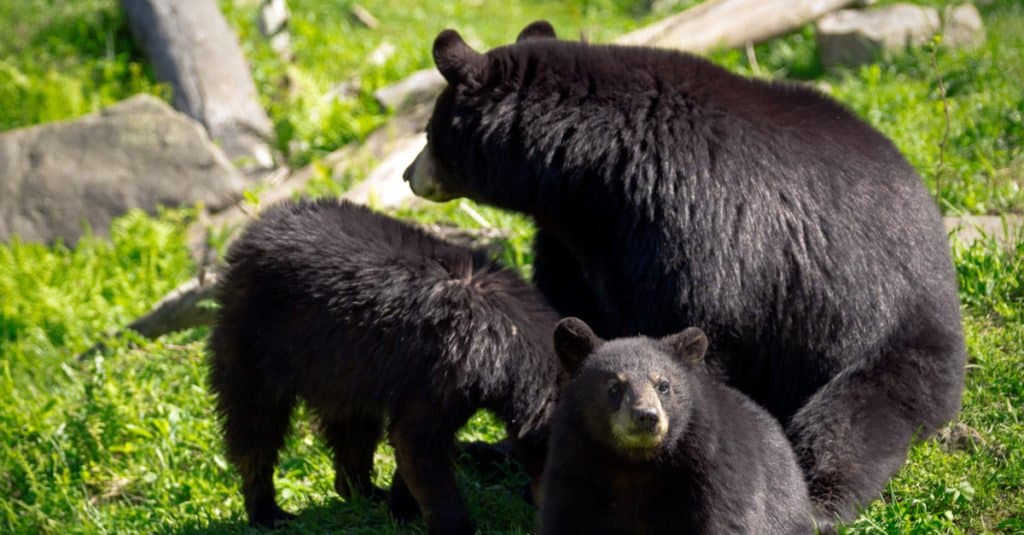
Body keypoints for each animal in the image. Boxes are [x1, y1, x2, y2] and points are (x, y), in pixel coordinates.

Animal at [207, 197, 561, 528]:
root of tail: (255, 229)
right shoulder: (447, 367)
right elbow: (417, 440)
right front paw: (445, 521)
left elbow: (413, 444)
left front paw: (401, 508)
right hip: (253, 339)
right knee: (256, 424)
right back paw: (267, 511)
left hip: (340, 366)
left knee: (353, 428)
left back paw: (362, 491)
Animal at [540, 315, 811, 532]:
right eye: (614, 387)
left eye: (663, 385)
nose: (646, 416)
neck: (635, 464)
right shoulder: (575, 464)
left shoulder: (713, 472)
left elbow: (726, 520)